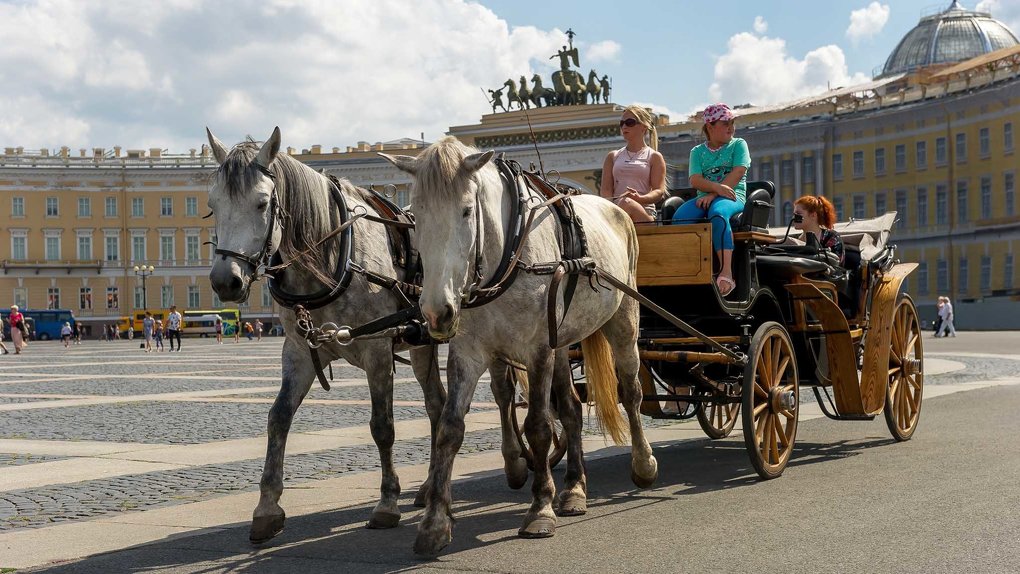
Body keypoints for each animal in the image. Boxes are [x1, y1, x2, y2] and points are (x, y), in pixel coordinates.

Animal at [204, 127, 534, 546]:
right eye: (213, 204)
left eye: (262, 203)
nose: (225, 281)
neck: (334, 260)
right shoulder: (297, 351)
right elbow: (278, 417)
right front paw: (267, 508)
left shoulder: (377, 353)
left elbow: (382, 427)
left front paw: (387, 503)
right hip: (424, 343)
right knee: (437, 404)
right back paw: (429, 487)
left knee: (503, 393)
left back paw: (516, 462)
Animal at [381, 134, 652, 558]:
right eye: (416, 215)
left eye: (466, 211)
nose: (436, 312)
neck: (505, 257)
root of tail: (613, 206)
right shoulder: (468, 353)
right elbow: (449, 429)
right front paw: (434, 523)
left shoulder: (536, 349)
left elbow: (538, 427)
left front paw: (540, 508)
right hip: (563, 341)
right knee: (571, 409)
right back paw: (574, 489)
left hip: (623, 321)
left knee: (630, 391)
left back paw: (642, 465)